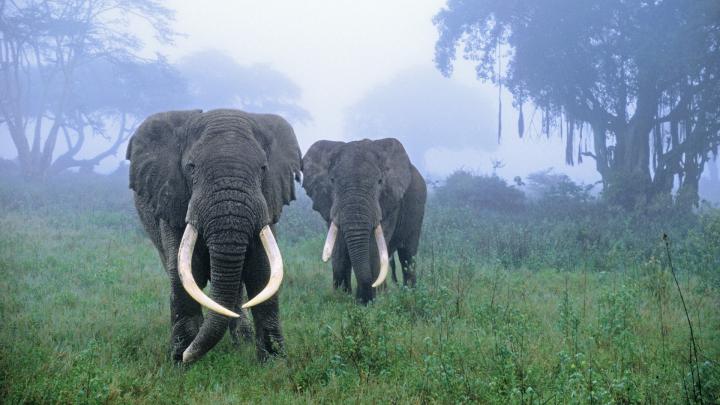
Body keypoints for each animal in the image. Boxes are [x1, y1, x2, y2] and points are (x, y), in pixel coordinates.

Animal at [126, 109, 301, 363]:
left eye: (263, 168)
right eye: (190, 167)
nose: (186, 356)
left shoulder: (268, 203)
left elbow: (263, 271)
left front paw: (274, 362)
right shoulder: (173, 201)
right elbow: (184, 272)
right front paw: (180, 361)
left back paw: (242, 340)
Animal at [302, 138, 427, 304]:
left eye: (380, 181)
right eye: (332, 181)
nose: (362, 297)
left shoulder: (389, 202)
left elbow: (373, 247)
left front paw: (368, 303)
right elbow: (339, 248)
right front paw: (342, 299)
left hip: (417, 210)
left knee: (407, 255)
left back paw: (408, 295)